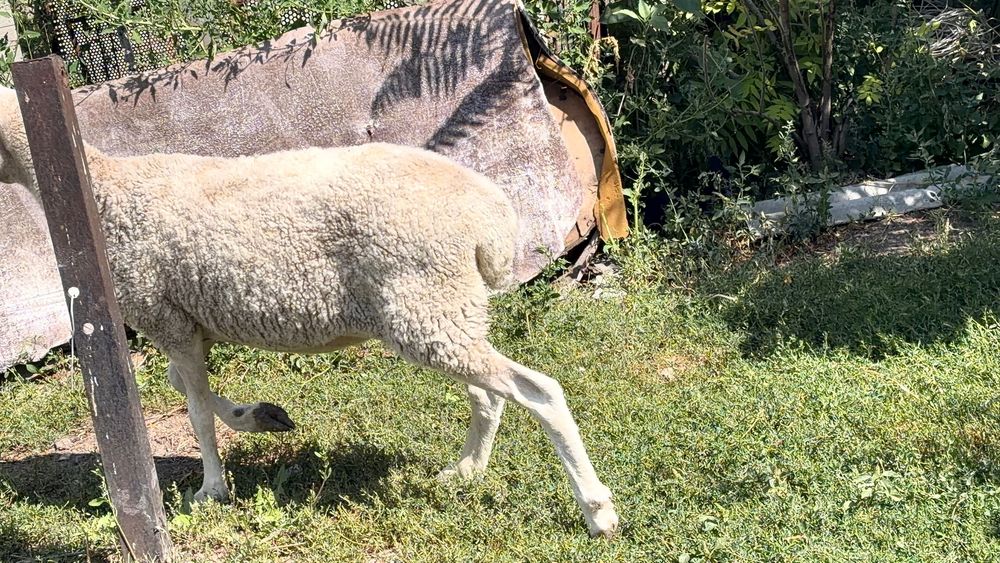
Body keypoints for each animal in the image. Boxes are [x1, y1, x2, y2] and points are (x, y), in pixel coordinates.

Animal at [0, 88, 619, 538]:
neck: (105, 191)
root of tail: (490, 218)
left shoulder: (165, 317)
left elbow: (195, 411)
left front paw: (210, 490)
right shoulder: (188, 323)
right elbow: (187, 389)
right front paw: (261, 417)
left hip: (426, 307)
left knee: (539, 391)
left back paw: (597, 512)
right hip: (445, 309)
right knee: (489, 393)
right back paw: (465, 472)